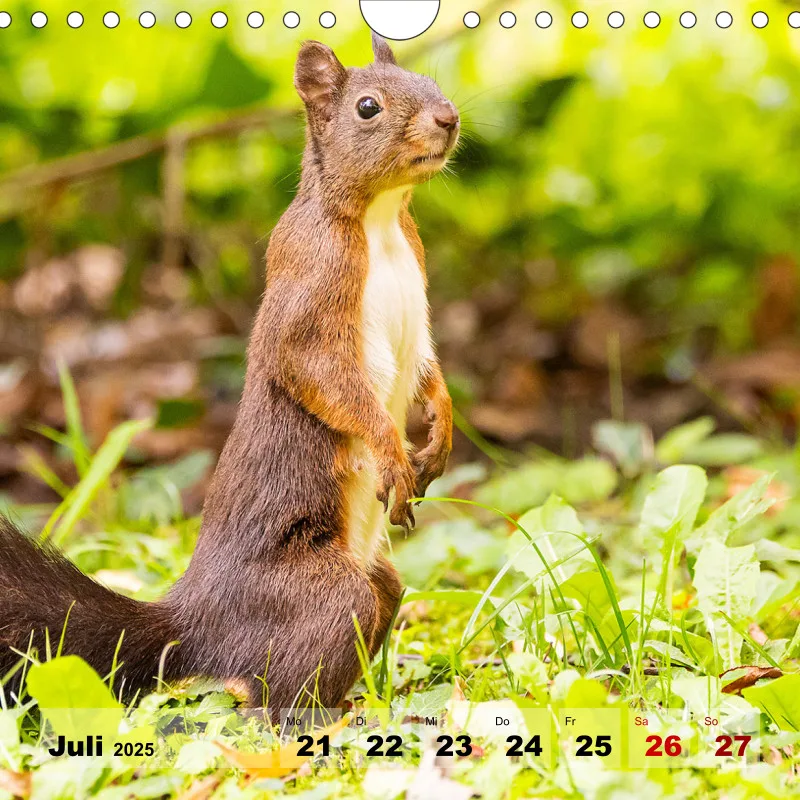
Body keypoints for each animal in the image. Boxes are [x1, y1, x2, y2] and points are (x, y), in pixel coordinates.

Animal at [0, 34, 458, 713]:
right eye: (368, 107)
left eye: (431, 81)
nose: (448, 118)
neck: (381, 221)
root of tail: (195, 624)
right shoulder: (311, 289)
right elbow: (323, 376)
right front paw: (392, 450)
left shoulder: (420, 292)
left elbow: (428, 369)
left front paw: (441, 434)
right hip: (323, 593)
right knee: (272, 700)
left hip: (377, 581)